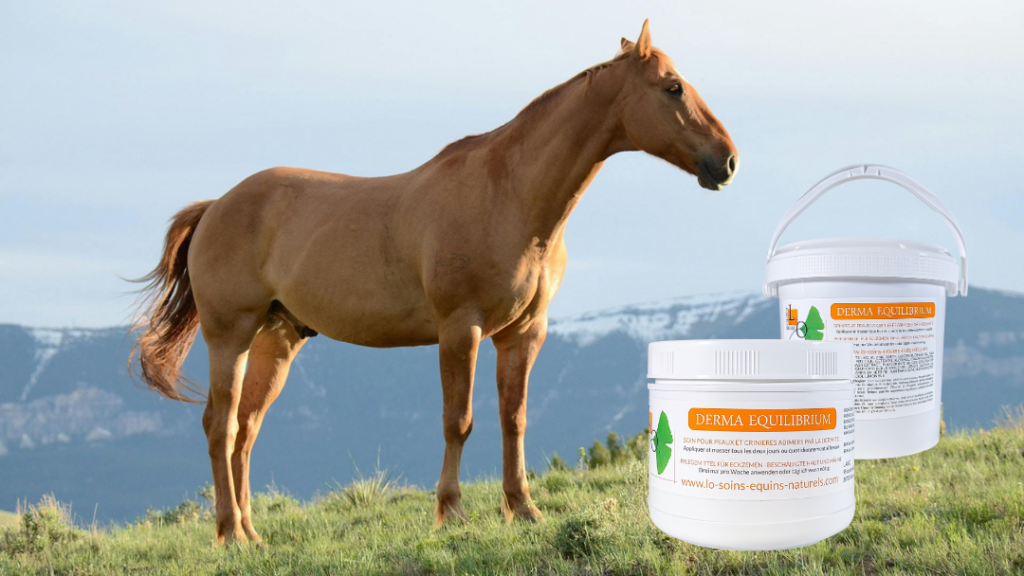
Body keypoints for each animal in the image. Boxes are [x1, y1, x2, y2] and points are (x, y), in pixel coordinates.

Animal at [131, 20, 737, 544]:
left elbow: (513, 418)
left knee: (246, 430)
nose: (727, 161)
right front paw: (452, 512)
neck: (509, 194)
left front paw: (523, 509)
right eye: (673, 87)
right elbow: (458, 421)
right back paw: (231, 533)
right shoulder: (459, 330)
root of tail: (216, 206)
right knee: (221, 426)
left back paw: (252, 534)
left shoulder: (524, 333)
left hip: (276, 340)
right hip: (230, 335)